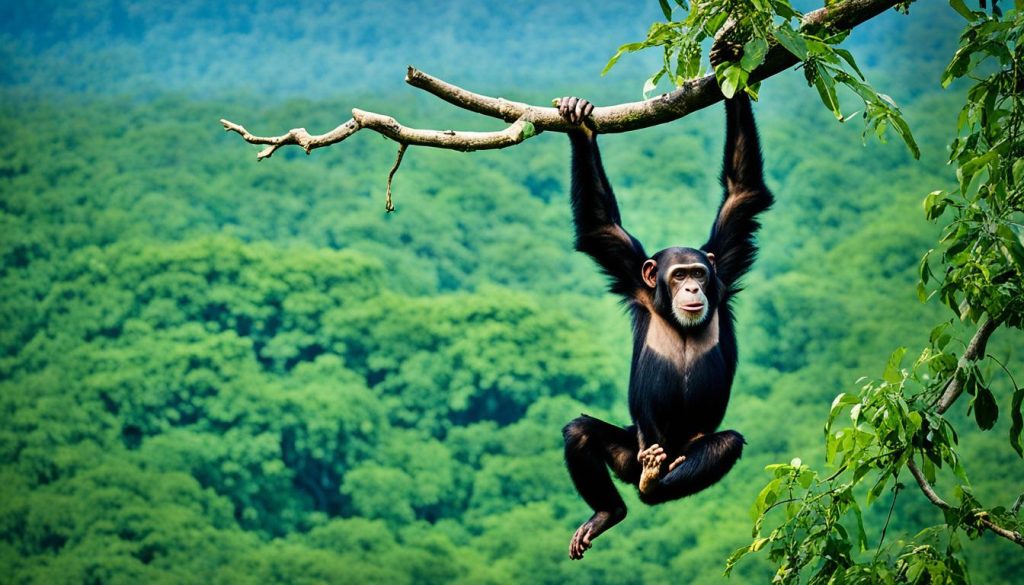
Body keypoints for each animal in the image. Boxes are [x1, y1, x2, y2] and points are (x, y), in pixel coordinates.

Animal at [557, 93, 770, 561]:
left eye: (699, 273)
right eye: (677, 275)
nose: (691, 286)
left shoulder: (724, 267)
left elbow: (743, 193)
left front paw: (731, 75)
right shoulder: (631, 273)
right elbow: (600, 226)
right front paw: (580, 127)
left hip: (682, 454)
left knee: (724, 445)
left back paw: (654, 487)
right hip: (634, 450)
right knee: (580, 434)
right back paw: (609, 511)